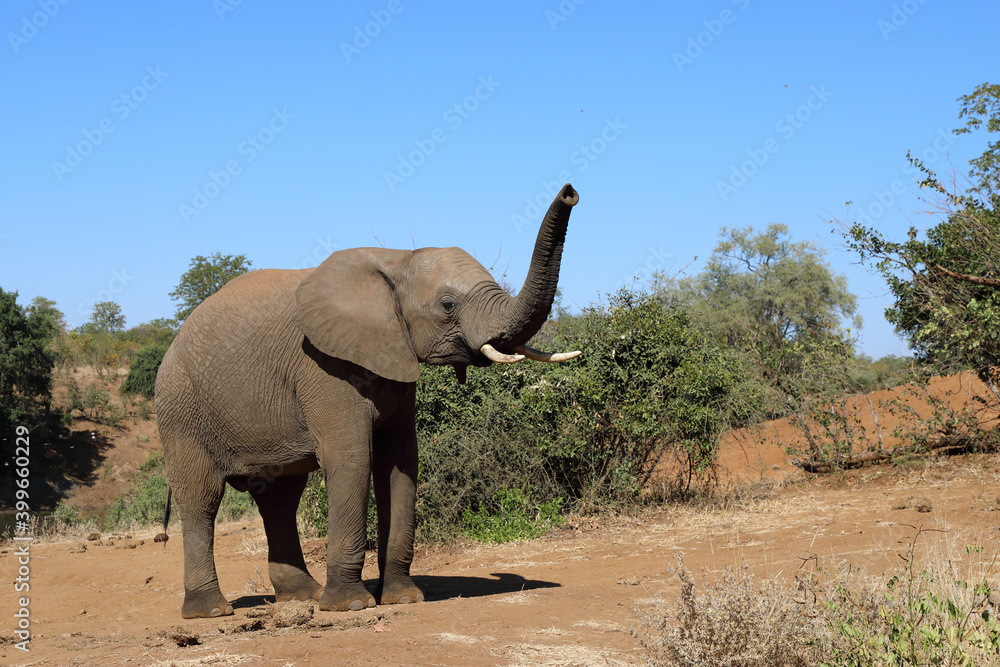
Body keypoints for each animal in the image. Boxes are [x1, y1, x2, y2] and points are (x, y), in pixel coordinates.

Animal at [155, 184, 581, 618]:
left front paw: (403, 598)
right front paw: (351, 606)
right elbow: (352, 458)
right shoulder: (325, 367)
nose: (569, 193)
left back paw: (302, 597)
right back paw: (211, 611)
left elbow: (399, 462)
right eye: (448, 305)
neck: (396, 260)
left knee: (280, 499)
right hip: (180, 407)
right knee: (202, 499)